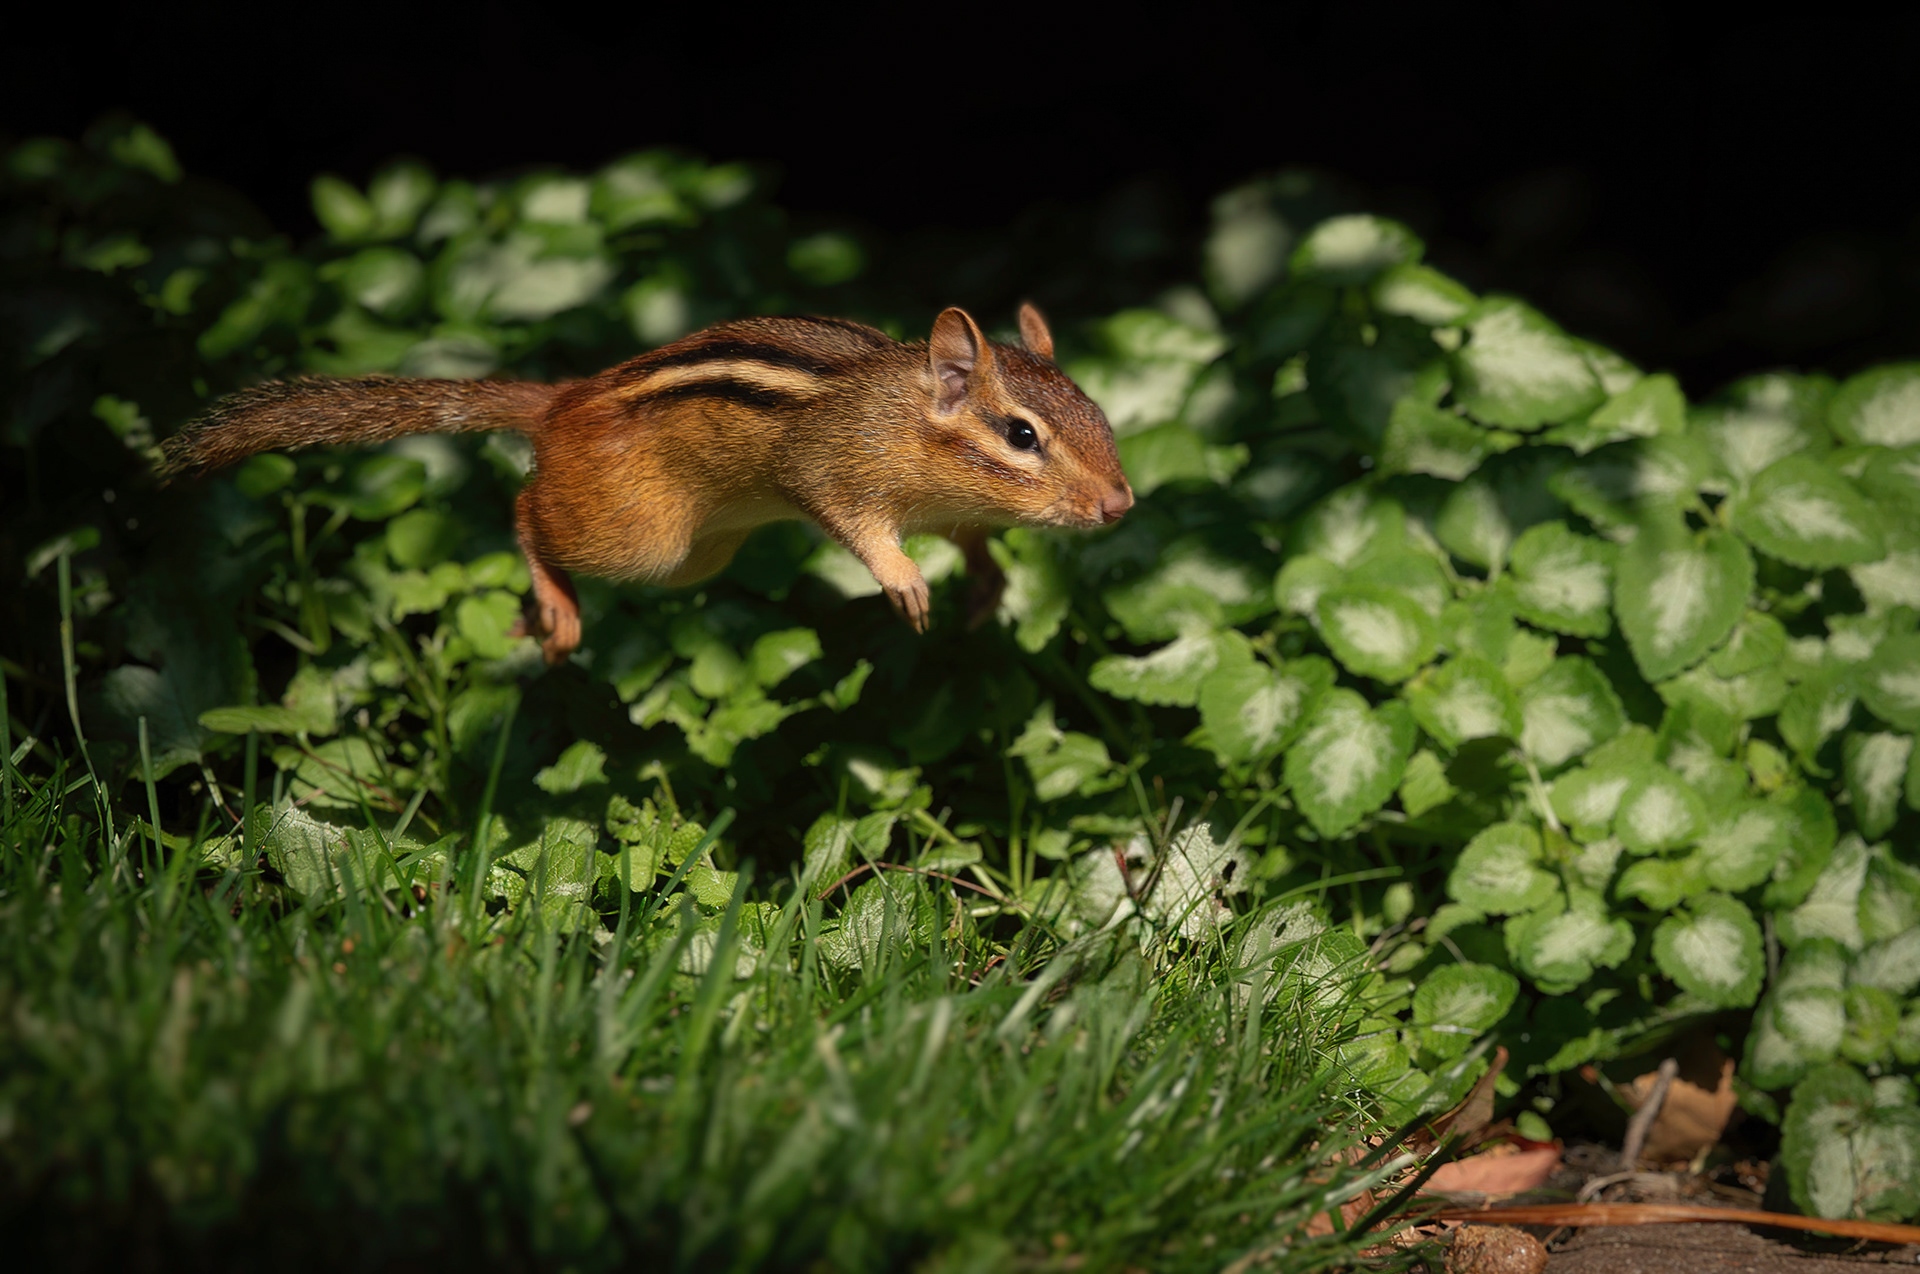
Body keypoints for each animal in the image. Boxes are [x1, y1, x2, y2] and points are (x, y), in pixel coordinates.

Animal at [158, 304, 1134, 663]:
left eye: (1100, 413)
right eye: (1022, 434)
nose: (1121, 504)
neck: (909, 419)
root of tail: (563, 400)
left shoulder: (952, 507)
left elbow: (973, 538)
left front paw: (989, 584)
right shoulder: (830, 469)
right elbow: (858, 528)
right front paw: (904, 581)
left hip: (698, 559)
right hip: (641, 538)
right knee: (525, 511)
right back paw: (554, 604)